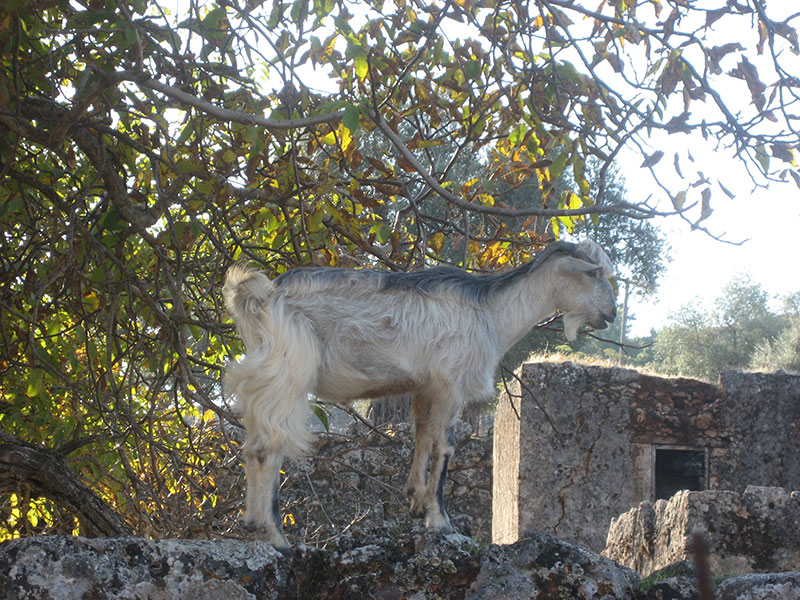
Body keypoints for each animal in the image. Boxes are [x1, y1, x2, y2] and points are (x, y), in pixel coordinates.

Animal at [222, 238, 616, 548]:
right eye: (593, 274)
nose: (611, 314)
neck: (491, 312)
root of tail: (261, 296)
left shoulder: (427, 388)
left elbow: (422, 437)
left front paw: (415, 500)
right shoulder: (451, 384)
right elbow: (445, 446)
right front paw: (440, 520)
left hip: (267, 379)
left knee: (252, 447)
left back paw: (252, 524)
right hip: (287, 372)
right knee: (267, 449)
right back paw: (275, 536)